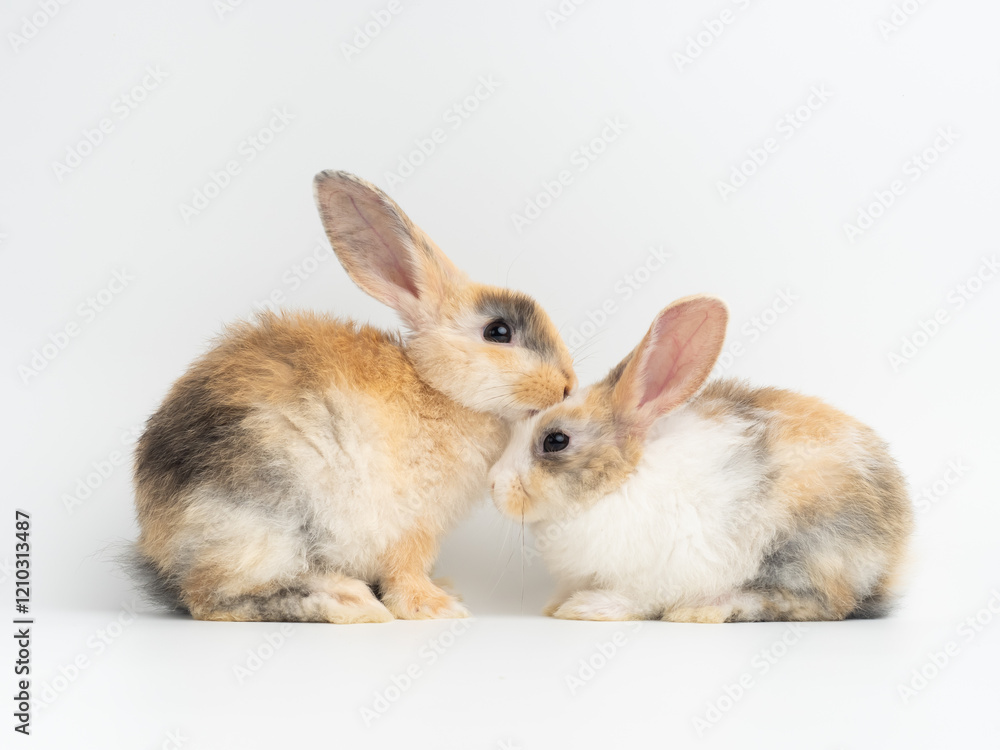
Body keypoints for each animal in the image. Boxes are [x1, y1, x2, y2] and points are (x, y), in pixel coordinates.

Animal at [131, 171, 576, 623]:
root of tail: (162, 541)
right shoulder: (413, 526)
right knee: (212, 598)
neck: (438, 389)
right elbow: (406, 571)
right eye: (498, 331)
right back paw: (347, 601)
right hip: (265, 526)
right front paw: (435, 606)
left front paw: (443, 591)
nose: (567, 385)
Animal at [489, 295, 913, 623]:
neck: (622, 481)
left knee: (820, 603)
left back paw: (704, 609)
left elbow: (633, 597)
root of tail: (894, 556)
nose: (494, 485)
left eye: (555, 441)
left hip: (800, 550)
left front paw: (588, 608)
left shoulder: (650, 574)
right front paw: (555, 605)